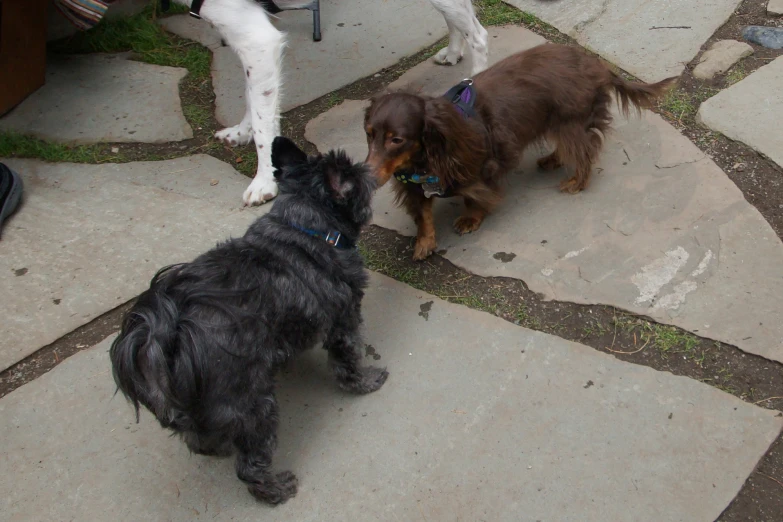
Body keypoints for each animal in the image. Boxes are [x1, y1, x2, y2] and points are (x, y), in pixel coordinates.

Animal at [111, 136, 388, 502]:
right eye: (361, 179)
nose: (374, 171)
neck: (306, 227)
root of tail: (166, 337)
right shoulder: (344, 321)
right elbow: (349, 364)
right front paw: (366, 382)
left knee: (197, 439)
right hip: (254, 405)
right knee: (249, 466)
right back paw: (275, 489)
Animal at [364, 43, 676, 258]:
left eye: (396, 139)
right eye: (368, 133)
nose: (366, 178)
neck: (426, 158)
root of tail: (596, 63)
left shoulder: (483, 168)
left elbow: (474, 197)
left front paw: (470, 218)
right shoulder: (414, 186)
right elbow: (423, 216)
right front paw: (424, 242)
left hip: (570, 121)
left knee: (585, 150)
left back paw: (577, 181)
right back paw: (551, 160)